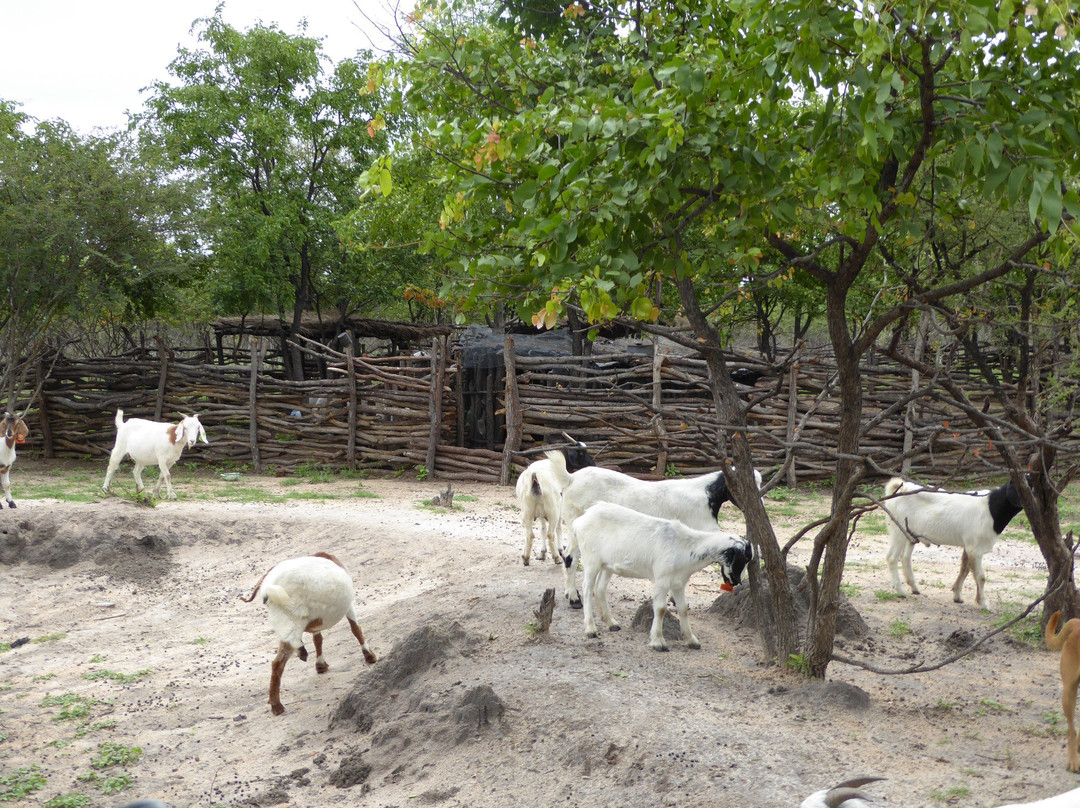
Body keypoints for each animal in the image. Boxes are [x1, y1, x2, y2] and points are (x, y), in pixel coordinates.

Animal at [241, 553, 380, 717]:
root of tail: (269, 588)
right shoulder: (350, 605)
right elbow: (356, 629)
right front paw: (370, 656)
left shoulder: (316, 623)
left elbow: (318, 639)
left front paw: (320, 665)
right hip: (294, 622)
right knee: (278, 663)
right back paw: (277, 706)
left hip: (287, 623)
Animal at [544, 447, 764, 604]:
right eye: (739, 485)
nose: (736, 581)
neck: (705, 496)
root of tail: (571, 478)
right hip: (575, 523)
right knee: (570, 557)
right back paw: (574, 598)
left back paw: (570, 593)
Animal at [574, 501, 751, 652]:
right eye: (742, 559)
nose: (737, 581)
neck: (685, 547)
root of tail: (582, 519)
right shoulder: (662, 580)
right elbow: (660, 609)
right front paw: (658, 642)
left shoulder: (679, 583)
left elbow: (683, 608)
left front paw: (692, 640)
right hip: (591, 560)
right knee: (587, 588)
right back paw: (590, 629)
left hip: (607, 565)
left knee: (600, 588)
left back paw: (611, 623)